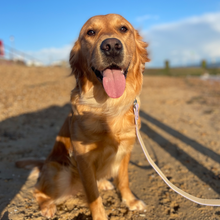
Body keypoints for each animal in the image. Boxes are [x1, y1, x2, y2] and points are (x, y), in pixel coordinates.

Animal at [15, 14, 150, 220]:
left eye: (123, 29)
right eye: (91, 32)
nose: (111, 46)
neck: (109, 106)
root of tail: (44, 162)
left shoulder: (126, 148)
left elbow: (123, 180)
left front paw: (130, 201)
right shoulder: (83, 159)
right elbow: (93, 195)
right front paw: (100, 216)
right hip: (60, 173)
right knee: (38, 191)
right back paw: (47, 207)